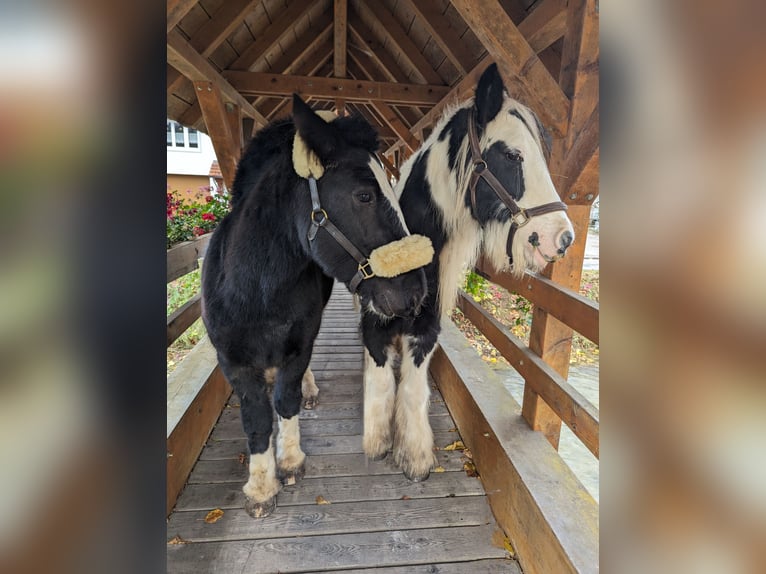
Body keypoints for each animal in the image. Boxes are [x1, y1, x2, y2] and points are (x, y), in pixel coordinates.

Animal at [202, 94, 432, 516]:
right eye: (364, 195)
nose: (415, 292)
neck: (256, 293)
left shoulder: (299, 344)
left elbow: (286, 398)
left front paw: (290, 461)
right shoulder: (233, 362)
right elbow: (256, 419)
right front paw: (261, 487)